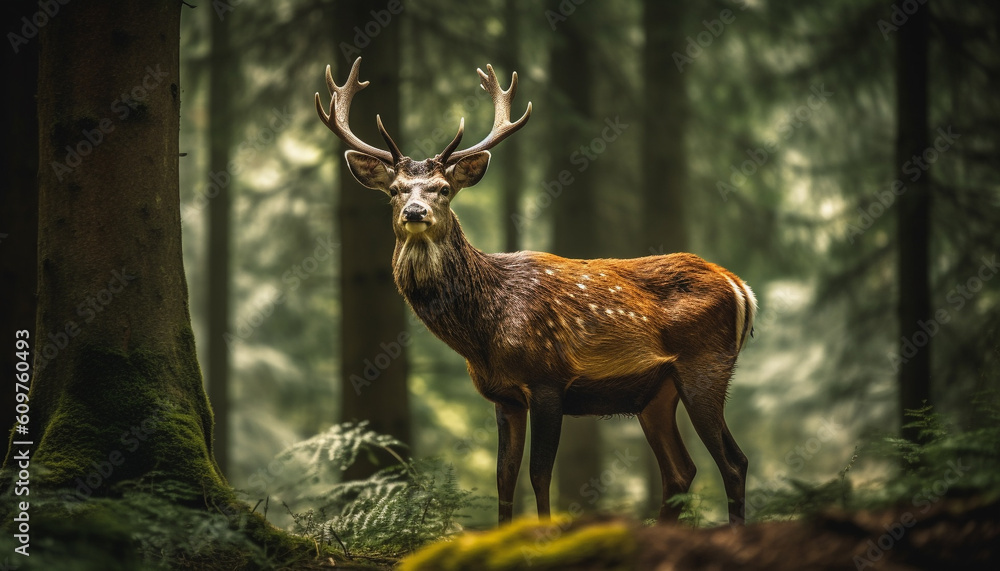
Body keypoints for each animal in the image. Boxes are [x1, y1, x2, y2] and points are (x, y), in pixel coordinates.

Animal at [316, 58, 752, 528]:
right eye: (395, 191)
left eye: (444, 189)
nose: (416, 212)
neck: (482, 334)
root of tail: (740, 286)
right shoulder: (504, 396)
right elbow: (504, 477)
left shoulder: (547, 379)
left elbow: (539, 474)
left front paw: (543, 534)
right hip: (656, 393)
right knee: (681, 470)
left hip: (704, 365)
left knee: (733, 461)